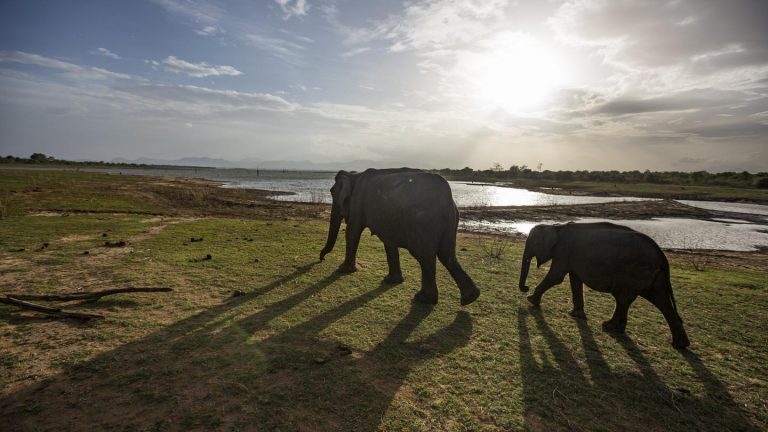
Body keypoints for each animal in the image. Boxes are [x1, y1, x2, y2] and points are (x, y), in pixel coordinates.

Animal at [320, 167, 480, 306]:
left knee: (425, 257)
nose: (321, 258)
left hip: (422, 223)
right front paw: (391, 280)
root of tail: (447, 196)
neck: (354, 174)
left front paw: (343, 270)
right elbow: (388, 242)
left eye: (332, 193)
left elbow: (352, 232)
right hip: (451, 220)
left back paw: (424, 299)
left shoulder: (358, 203)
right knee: (447, 255)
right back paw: (470, 298)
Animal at [520, 223, 688, 348]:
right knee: (659, 301)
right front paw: (576, 315)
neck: (556, 227)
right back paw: (680, 344)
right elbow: (575, 280)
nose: (526, 288)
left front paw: (531, 300)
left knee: (625, 298)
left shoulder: (563, 252)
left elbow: (556, 277)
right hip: (652, 276)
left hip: (635, 271)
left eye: (533, 243)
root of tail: (661, 255)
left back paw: (609, 326)